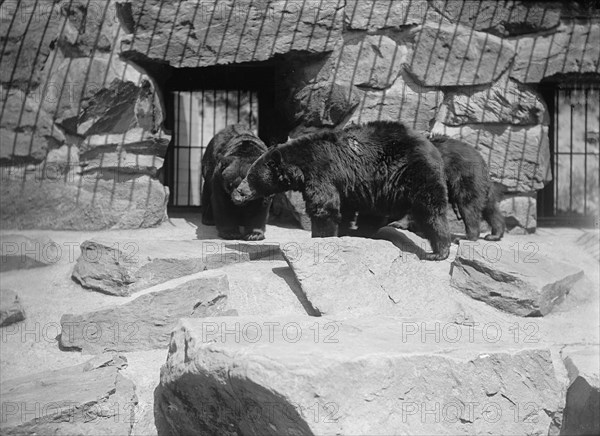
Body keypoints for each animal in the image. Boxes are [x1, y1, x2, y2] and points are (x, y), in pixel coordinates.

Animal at [233, 121, 450, 260]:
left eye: (250, 177)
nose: (237, 193)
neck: (300, 166)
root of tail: (429, 145)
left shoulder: (322, 173)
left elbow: (324, 208)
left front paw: (321, 237)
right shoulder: (348, 185)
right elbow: (344, 208)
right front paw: (343, 231)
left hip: (411, 172)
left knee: (430, 208)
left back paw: (438, 251)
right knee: (375, 213)